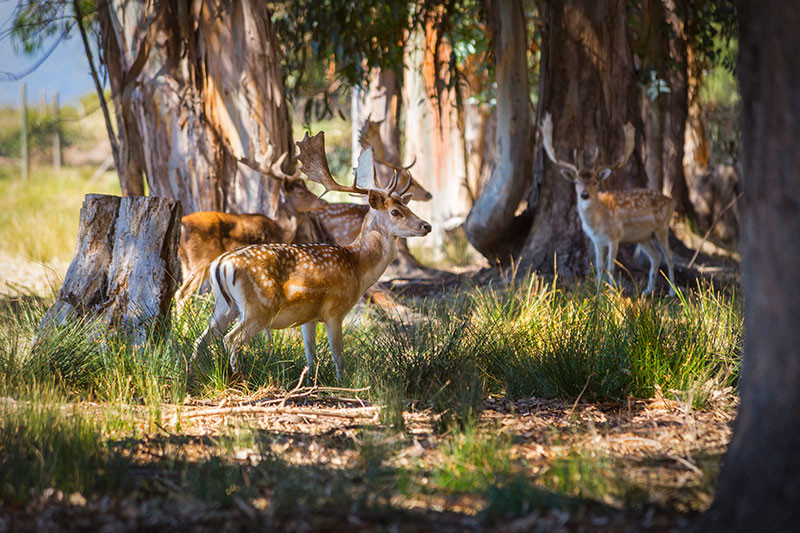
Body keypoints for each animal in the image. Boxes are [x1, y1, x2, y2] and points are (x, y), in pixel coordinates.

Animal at [189, 135, 432, 380]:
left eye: (408, 207)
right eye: (395, 212)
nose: (427, 226)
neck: (358, 266)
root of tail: (220, 264)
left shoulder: (309, 317)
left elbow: (311, 356)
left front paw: (311, 381)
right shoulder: (334, 311)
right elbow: (338, 358)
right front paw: (342, 383)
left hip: (224, 306)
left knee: (200, 341)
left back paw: (194, 375)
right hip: (257, 309)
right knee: (230, 340)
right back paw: (239, 378)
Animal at [540, 113, 680, 296]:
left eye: (594, 182)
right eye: (576, 182)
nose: (584, 194)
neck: (598, 222)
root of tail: (672, 201)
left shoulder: (615, 236)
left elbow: (611, 266)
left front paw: (612, 293)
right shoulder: (597, 241)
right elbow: (599, 266)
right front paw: (599, 292)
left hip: (662, 227)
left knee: (669, 256)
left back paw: (672, 292)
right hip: (643, 236)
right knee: (656, 257)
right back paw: (647, 291)